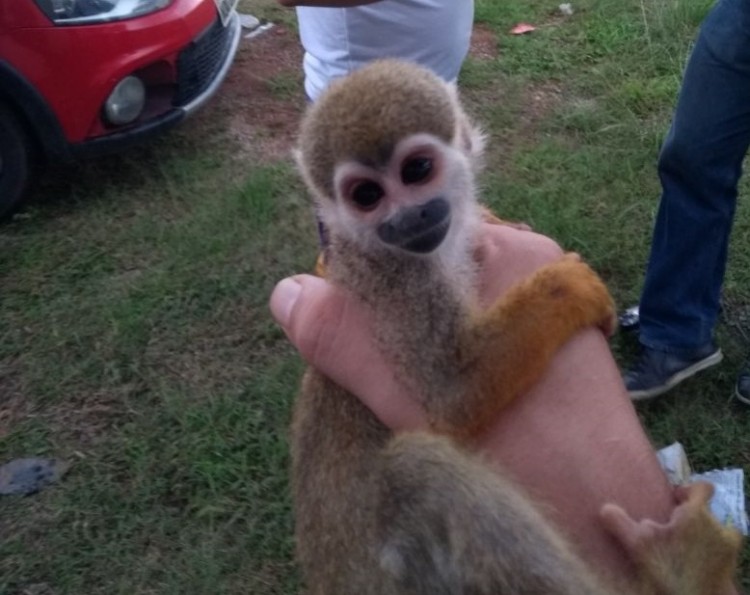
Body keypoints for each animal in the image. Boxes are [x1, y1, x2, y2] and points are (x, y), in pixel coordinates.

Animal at [287, 59, 743, 594]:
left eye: (416, 170)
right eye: (366, 196)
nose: (408, 217)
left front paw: (492, 219)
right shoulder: (388, 274)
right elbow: (453, 390)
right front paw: (566, 287)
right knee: (419, 473)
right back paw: (684, 567)